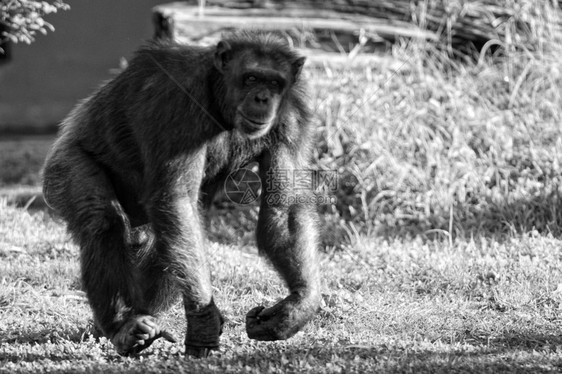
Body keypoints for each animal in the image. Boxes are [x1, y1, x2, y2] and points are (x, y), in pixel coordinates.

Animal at [43, 30, 320, 358]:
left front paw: (296, 306)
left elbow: (285, 208)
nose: (263, 97)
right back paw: (122, 326)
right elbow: (176, 199)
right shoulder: (176, 104)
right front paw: (204, 321)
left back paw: (136, 321)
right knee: (103, 220)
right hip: (62, 165)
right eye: (251, 78)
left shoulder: (294, 116)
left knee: (163, 241)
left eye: (275, 83)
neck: (219, 98)